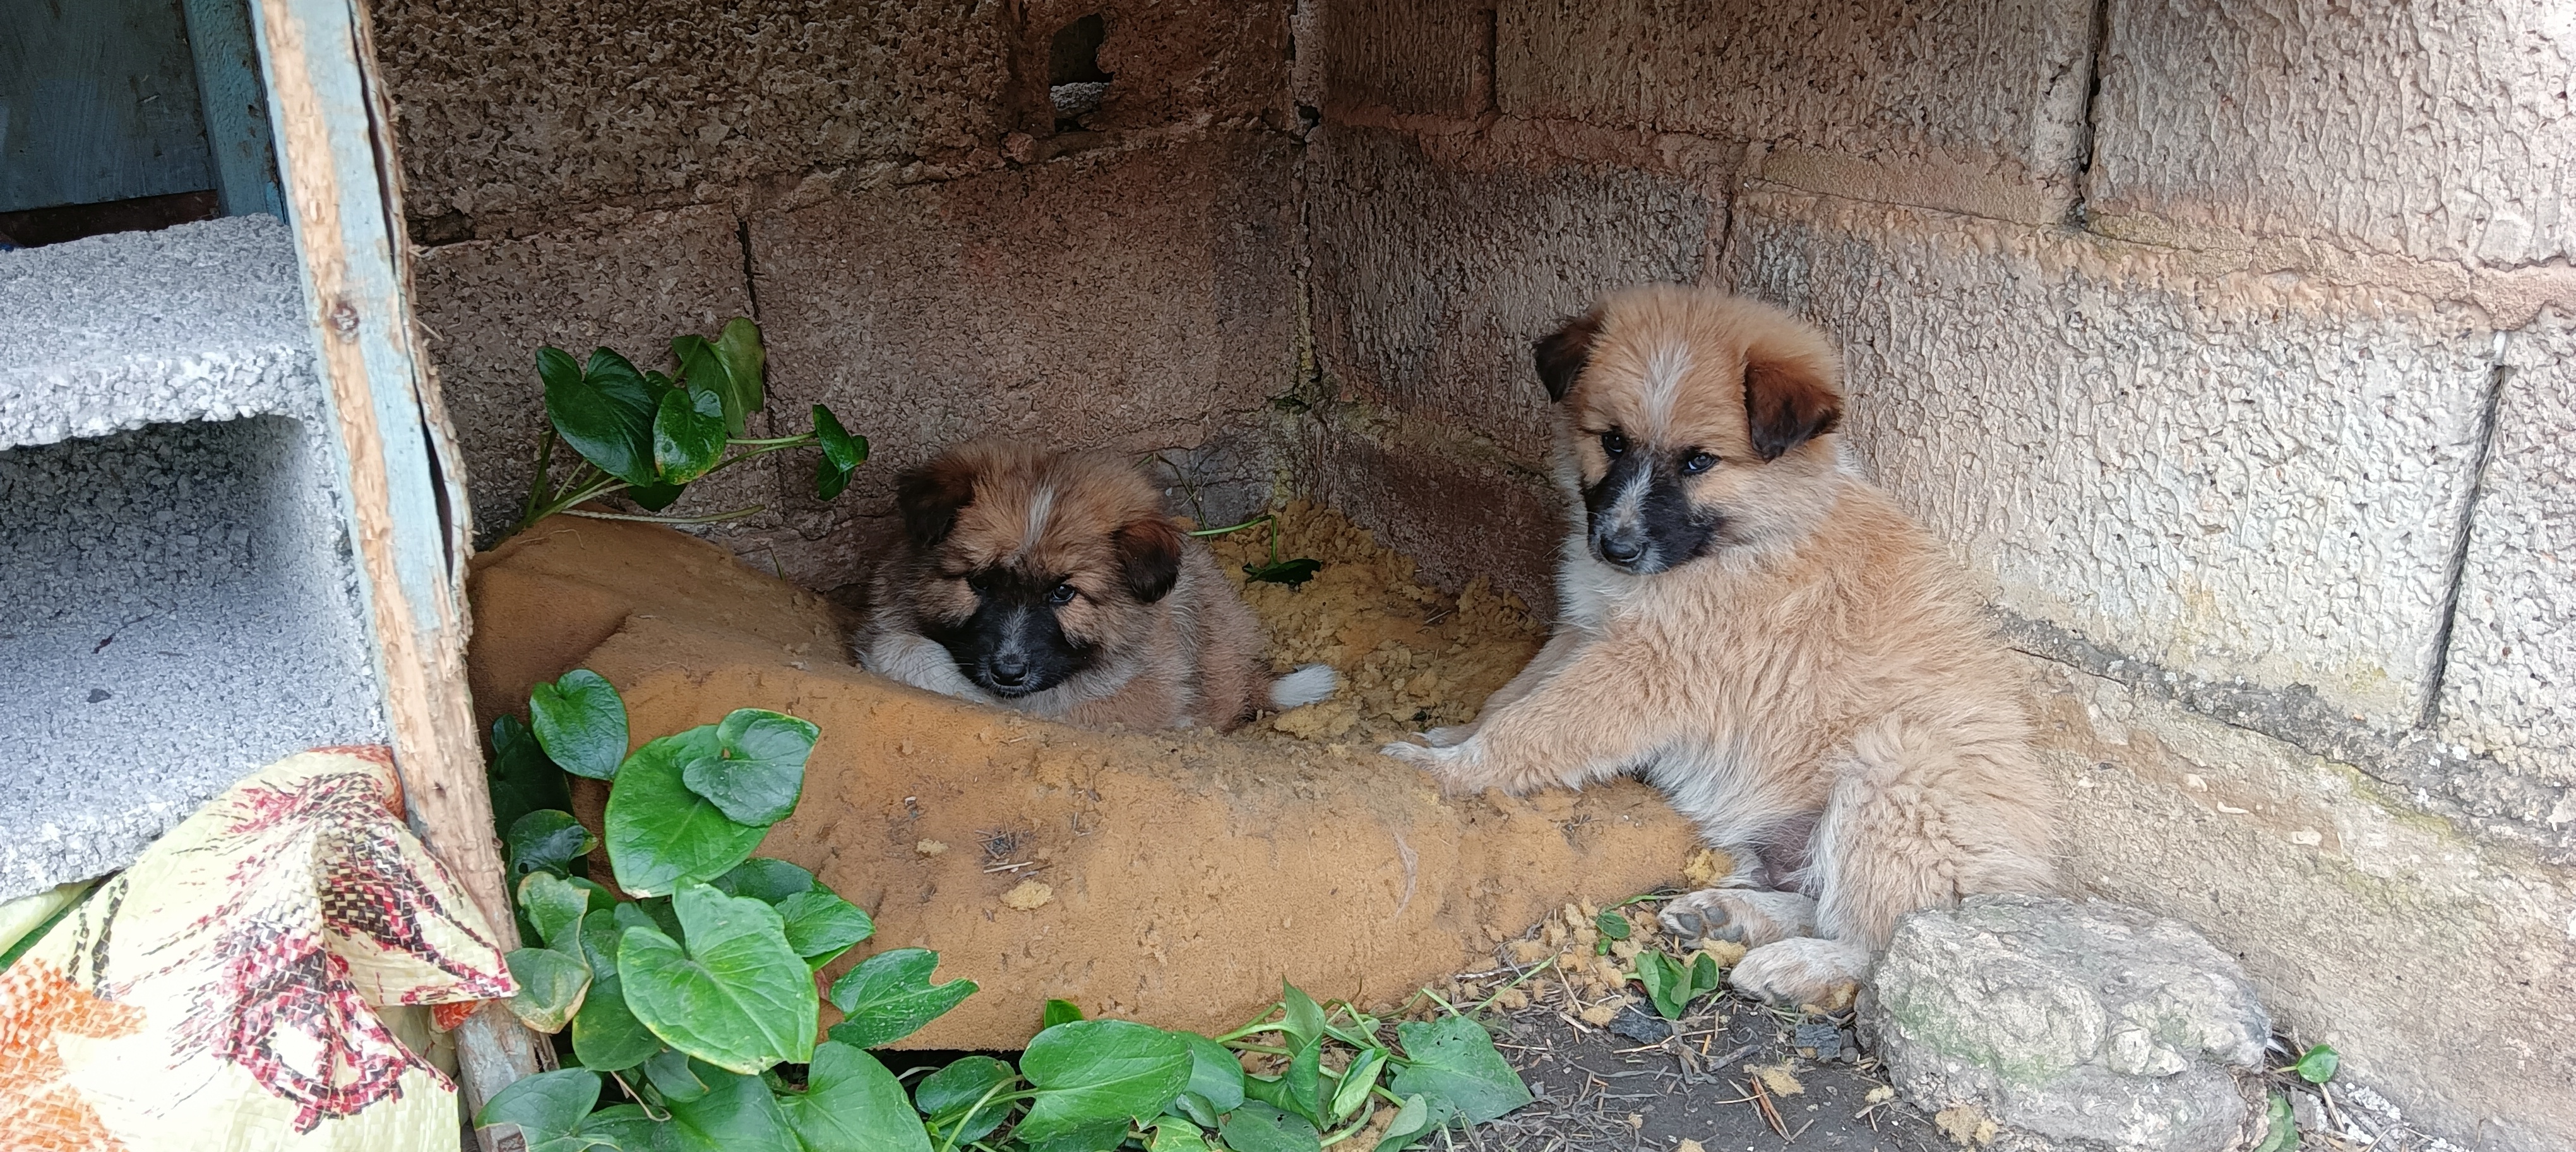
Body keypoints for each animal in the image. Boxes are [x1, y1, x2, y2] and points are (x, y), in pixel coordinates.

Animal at [1380, 289, 2061, 1010]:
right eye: (1612, 440)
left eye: (1698, 461)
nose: (1616, 548)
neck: (1746, 536)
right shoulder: (1585, 631)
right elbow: (1511, 697)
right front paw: (1450, 740)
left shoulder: (1645, 666)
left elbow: (1532, 725)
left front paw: (1448, 771)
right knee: (1816, 900)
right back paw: (1730, 914)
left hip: (1896, 772)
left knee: (1879, 944)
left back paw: (1795, 964)